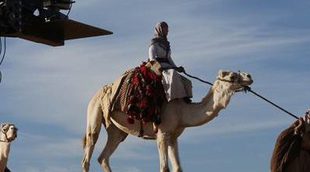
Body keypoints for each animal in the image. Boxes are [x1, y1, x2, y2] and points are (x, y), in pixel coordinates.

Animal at [81, 69, 252, 171]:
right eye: (232, 76)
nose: (249, 76)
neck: (182, 111)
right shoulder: (162, 133)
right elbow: (164, 167)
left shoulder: (173, 136)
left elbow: (177, 168)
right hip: (94, 112)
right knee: (89, 150)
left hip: (117, 130)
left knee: (104, 156)